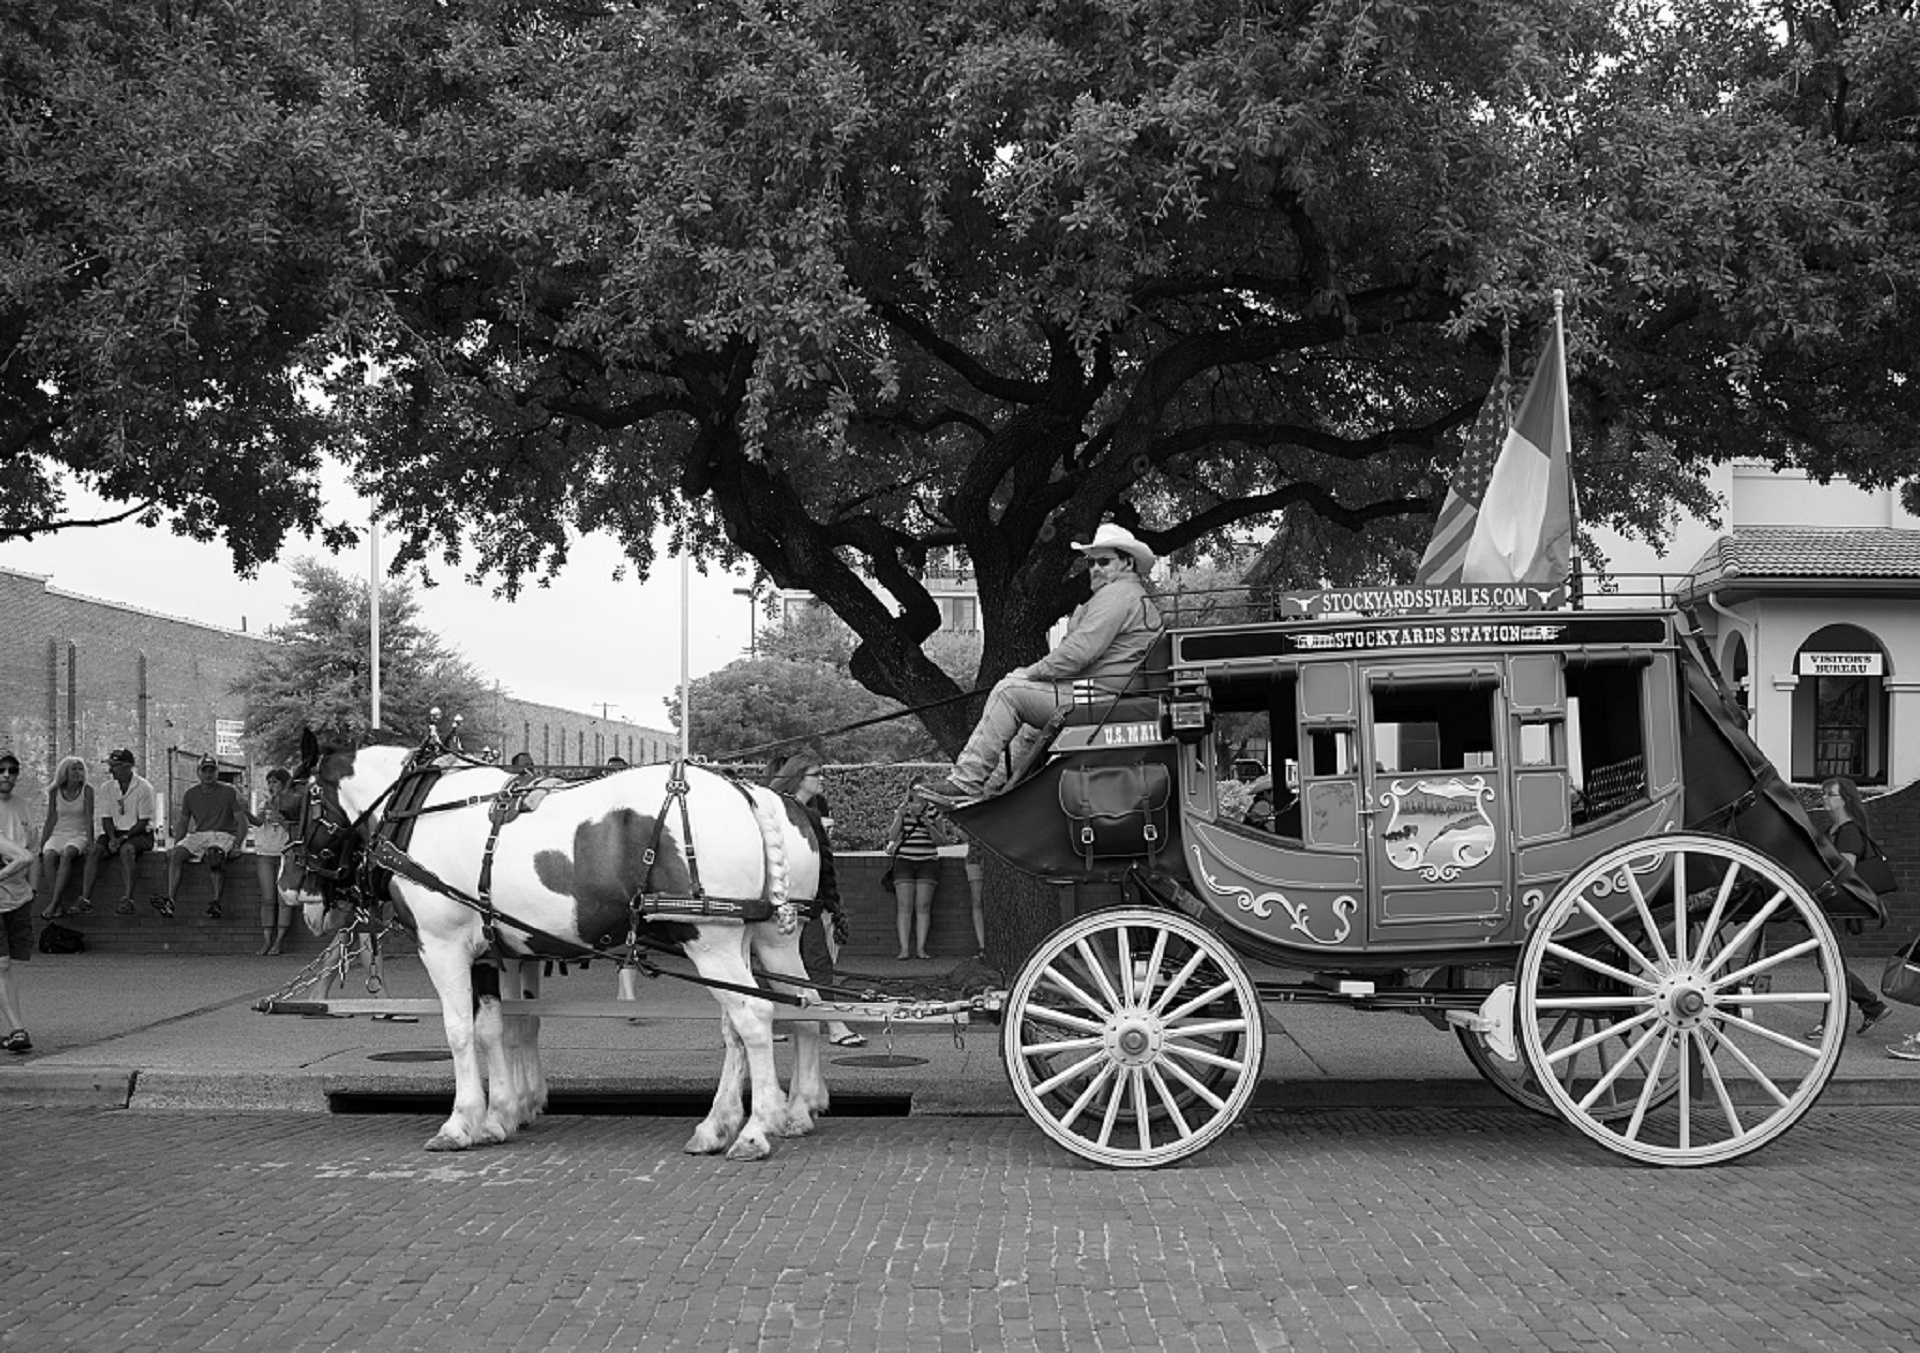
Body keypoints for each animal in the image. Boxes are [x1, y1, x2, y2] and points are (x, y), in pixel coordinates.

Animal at [280, 733, 833, 1159]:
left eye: (287, 808)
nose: (293, 892)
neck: (419, 809)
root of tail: (748, 792)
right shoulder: (489, 950)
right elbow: (496, 1028)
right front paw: (499, 1117)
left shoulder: (443, 946)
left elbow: (460, 1031)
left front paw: (460, 1123)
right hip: (760, 940)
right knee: (786, 1012)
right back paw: (726, 1124)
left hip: (711, 941)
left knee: (755, 1019)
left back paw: (758, 1129)